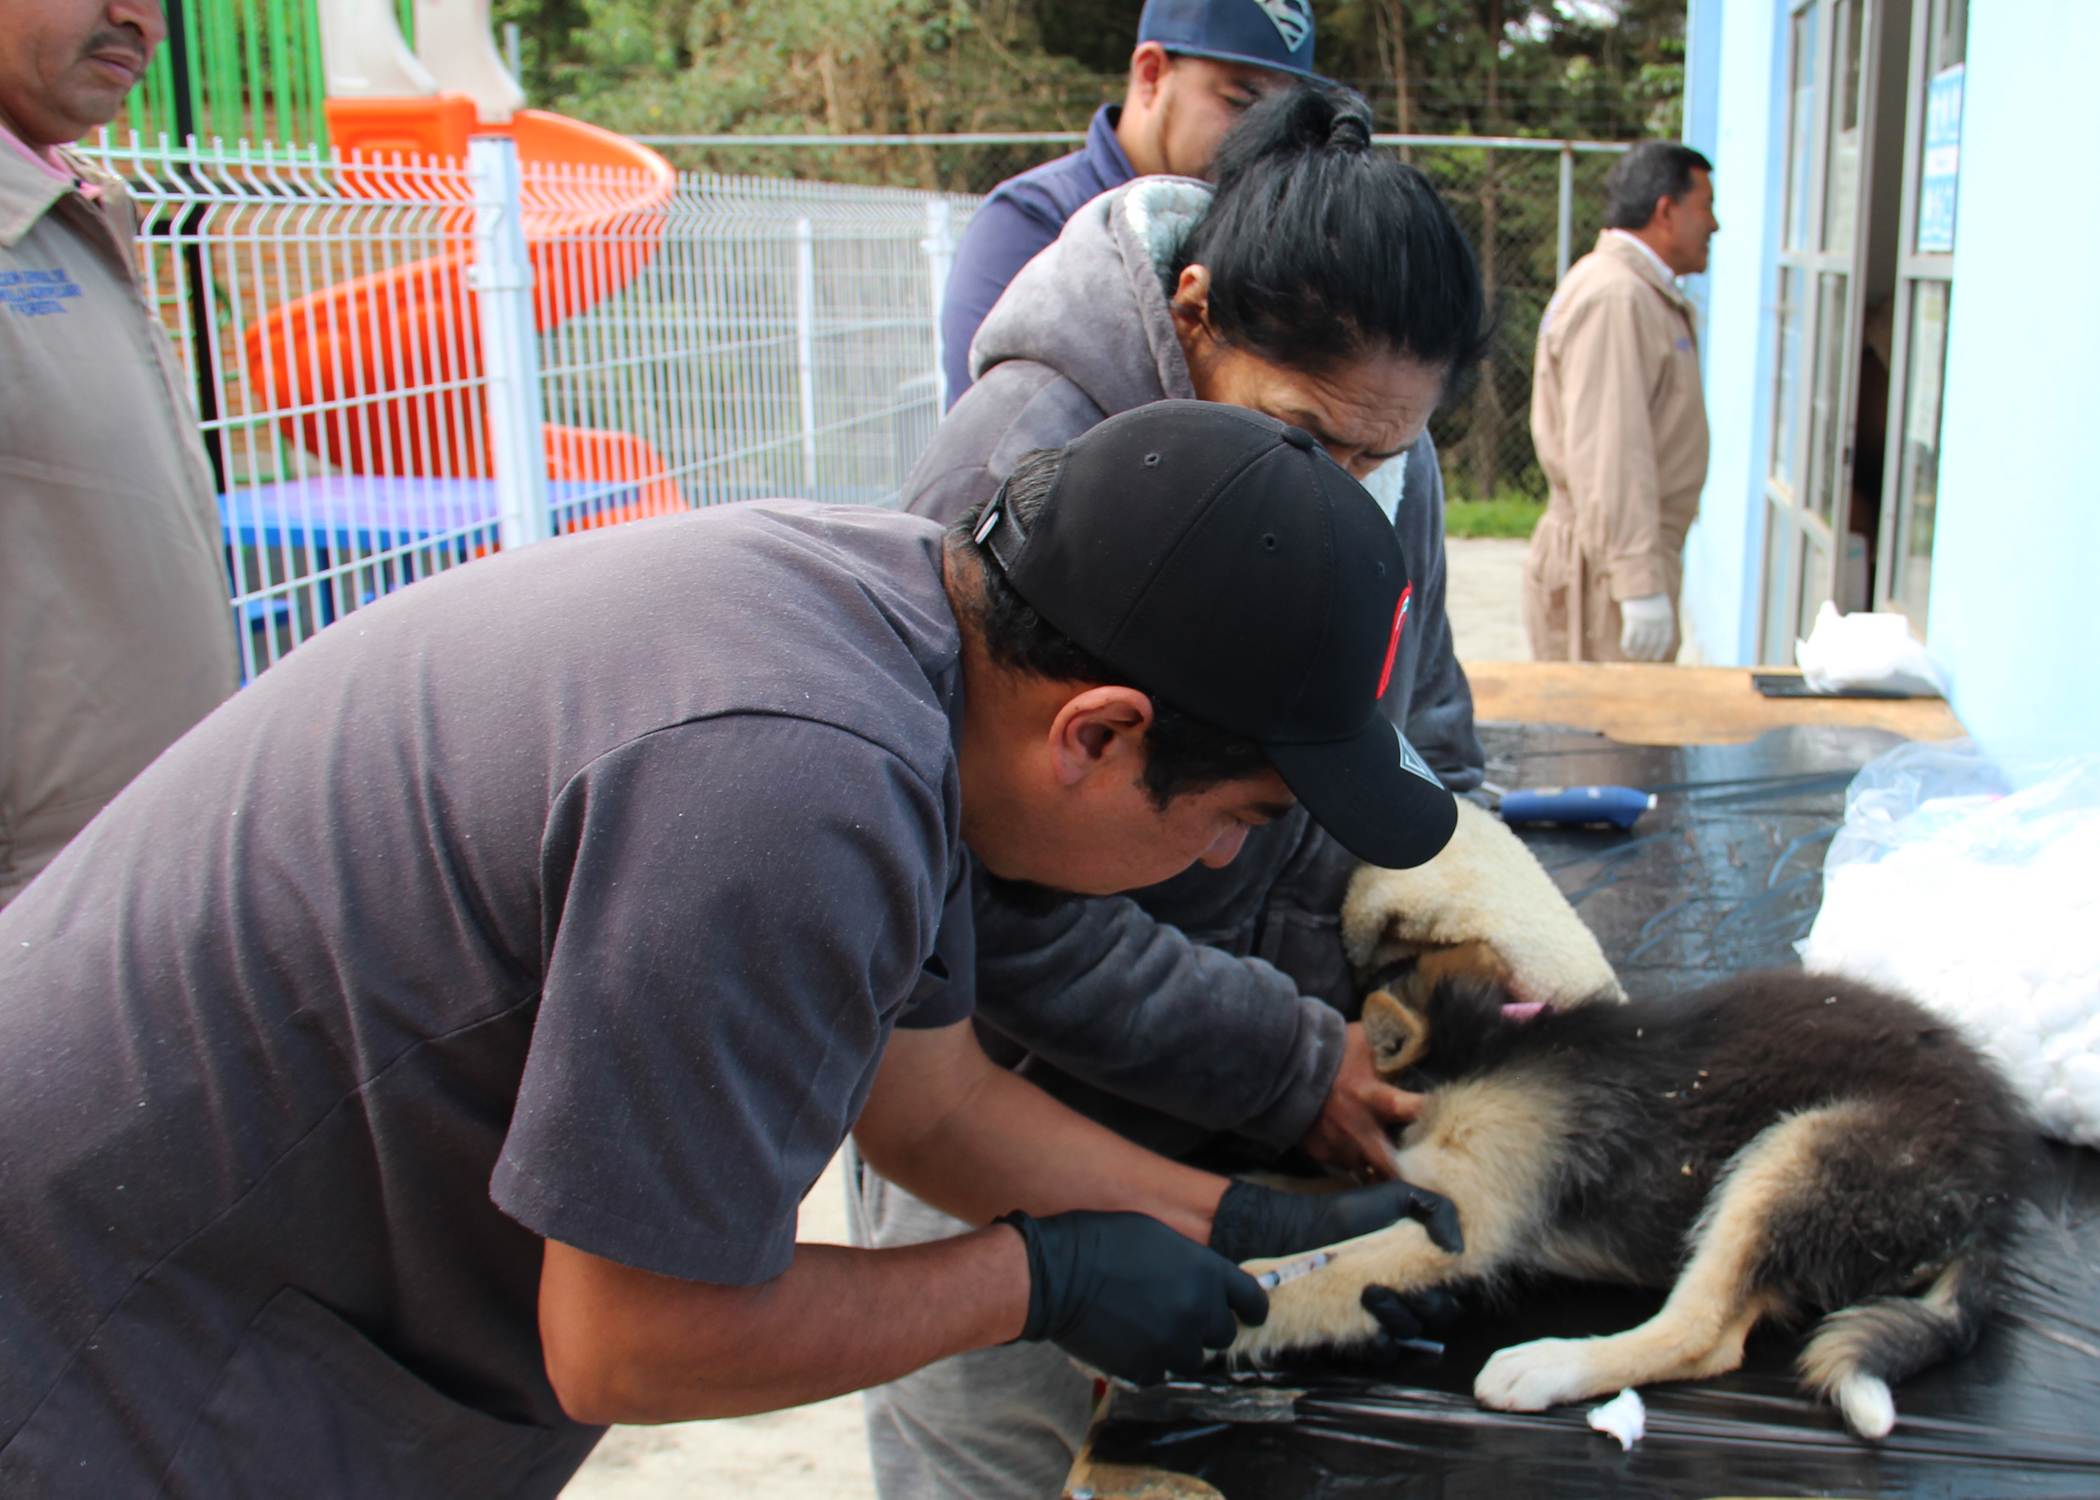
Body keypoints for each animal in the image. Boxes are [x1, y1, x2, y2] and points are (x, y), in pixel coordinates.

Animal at [1226, 957, 2032, 1436]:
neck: (1482, 1053)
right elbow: (1316, 1209)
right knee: (1727, 1338)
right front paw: (1246, 1198)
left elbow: (1295, 1281)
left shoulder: (1468, 1217)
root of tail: (1995, 1200)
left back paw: (1546, 1367)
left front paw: (1224, 1317)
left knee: (1697, 1330)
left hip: (1795, 1155)